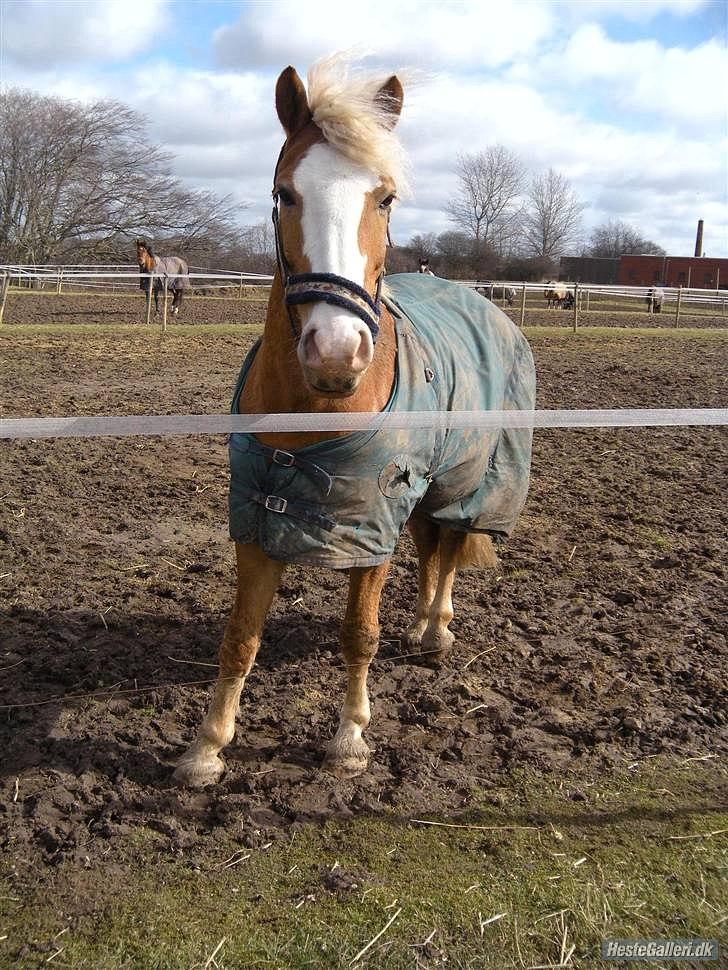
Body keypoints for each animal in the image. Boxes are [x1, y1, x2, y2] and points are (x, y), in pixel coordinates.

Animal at [173, 54, 536, 788]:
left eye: (386, 197)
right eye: (285, 193)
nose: (337, 353)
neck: (315, 413)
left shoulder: (371, 528)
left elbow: (357, 634)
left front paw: (349, 738)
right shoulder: (259, 520)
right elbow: (240, 636)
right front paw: (207, 747)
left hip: (464, 484)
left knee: (449, 550)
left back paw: (436, 629)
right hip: (422, 491)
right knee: (429, 548)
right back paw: (423, 624)